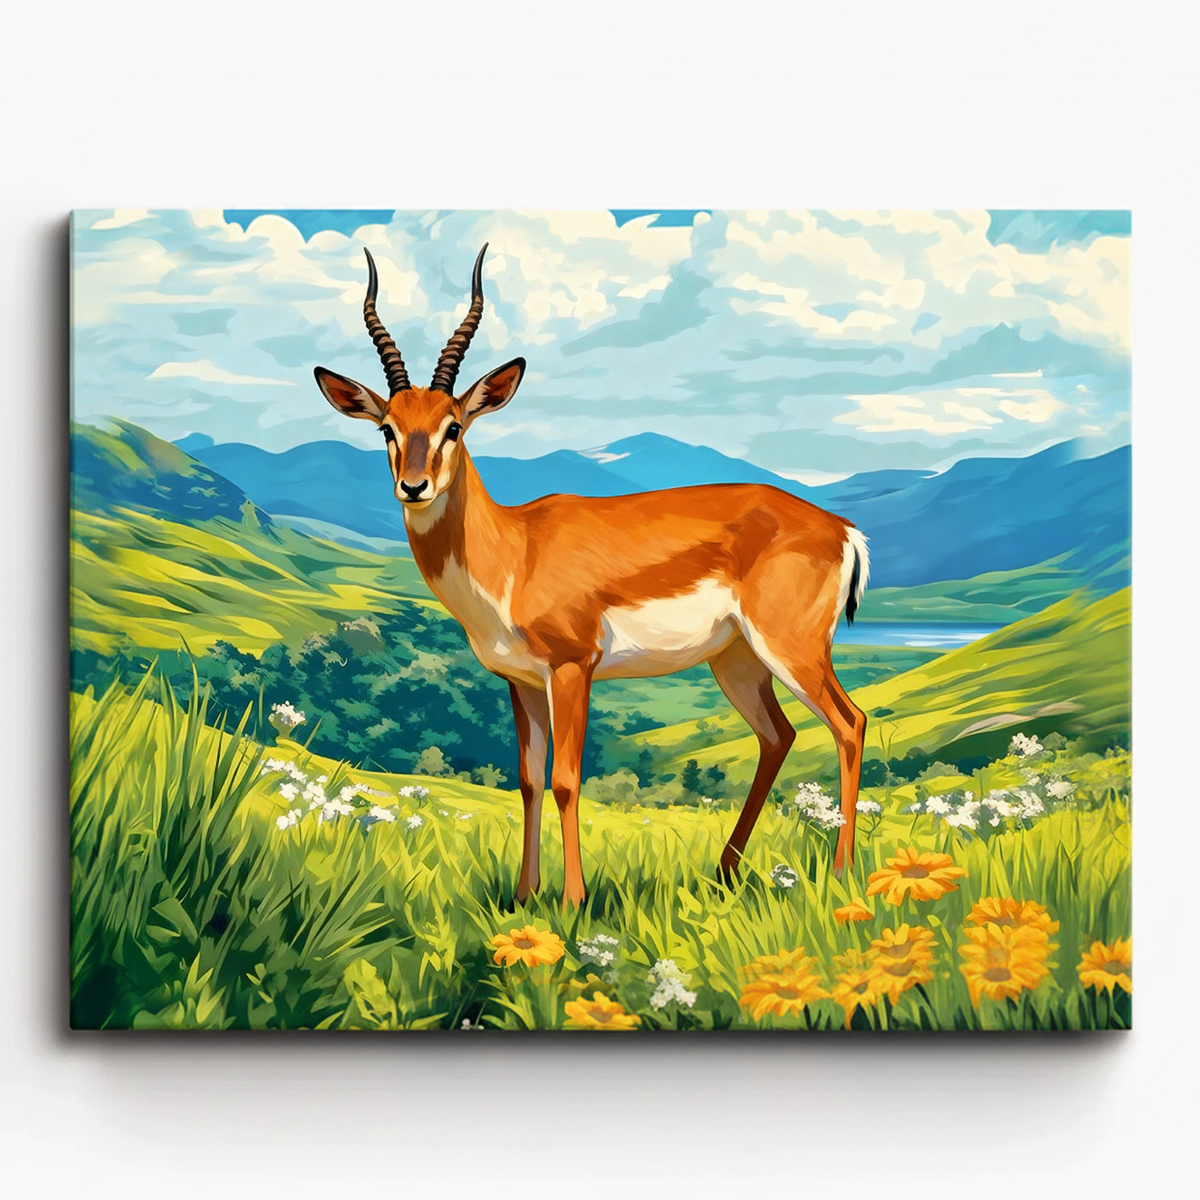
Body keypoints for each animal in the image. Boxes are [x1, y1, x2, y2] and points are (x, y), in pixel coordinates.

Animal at [315, 245, 869, 909]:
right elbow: (527, 780)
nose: (413, 486)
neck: (514, 553)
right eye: (387, 428)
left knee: (850, 724)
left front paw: (573, 901)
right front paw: (524, 895)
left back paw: (841, 876)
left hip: (792, 649)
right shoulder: (521, 681)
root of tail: (840, 528)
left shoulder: (572, 667)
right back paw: (724, 874)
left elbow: (567, 779)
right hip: (736, 660)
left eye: (454, 425)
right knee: (778, 736)